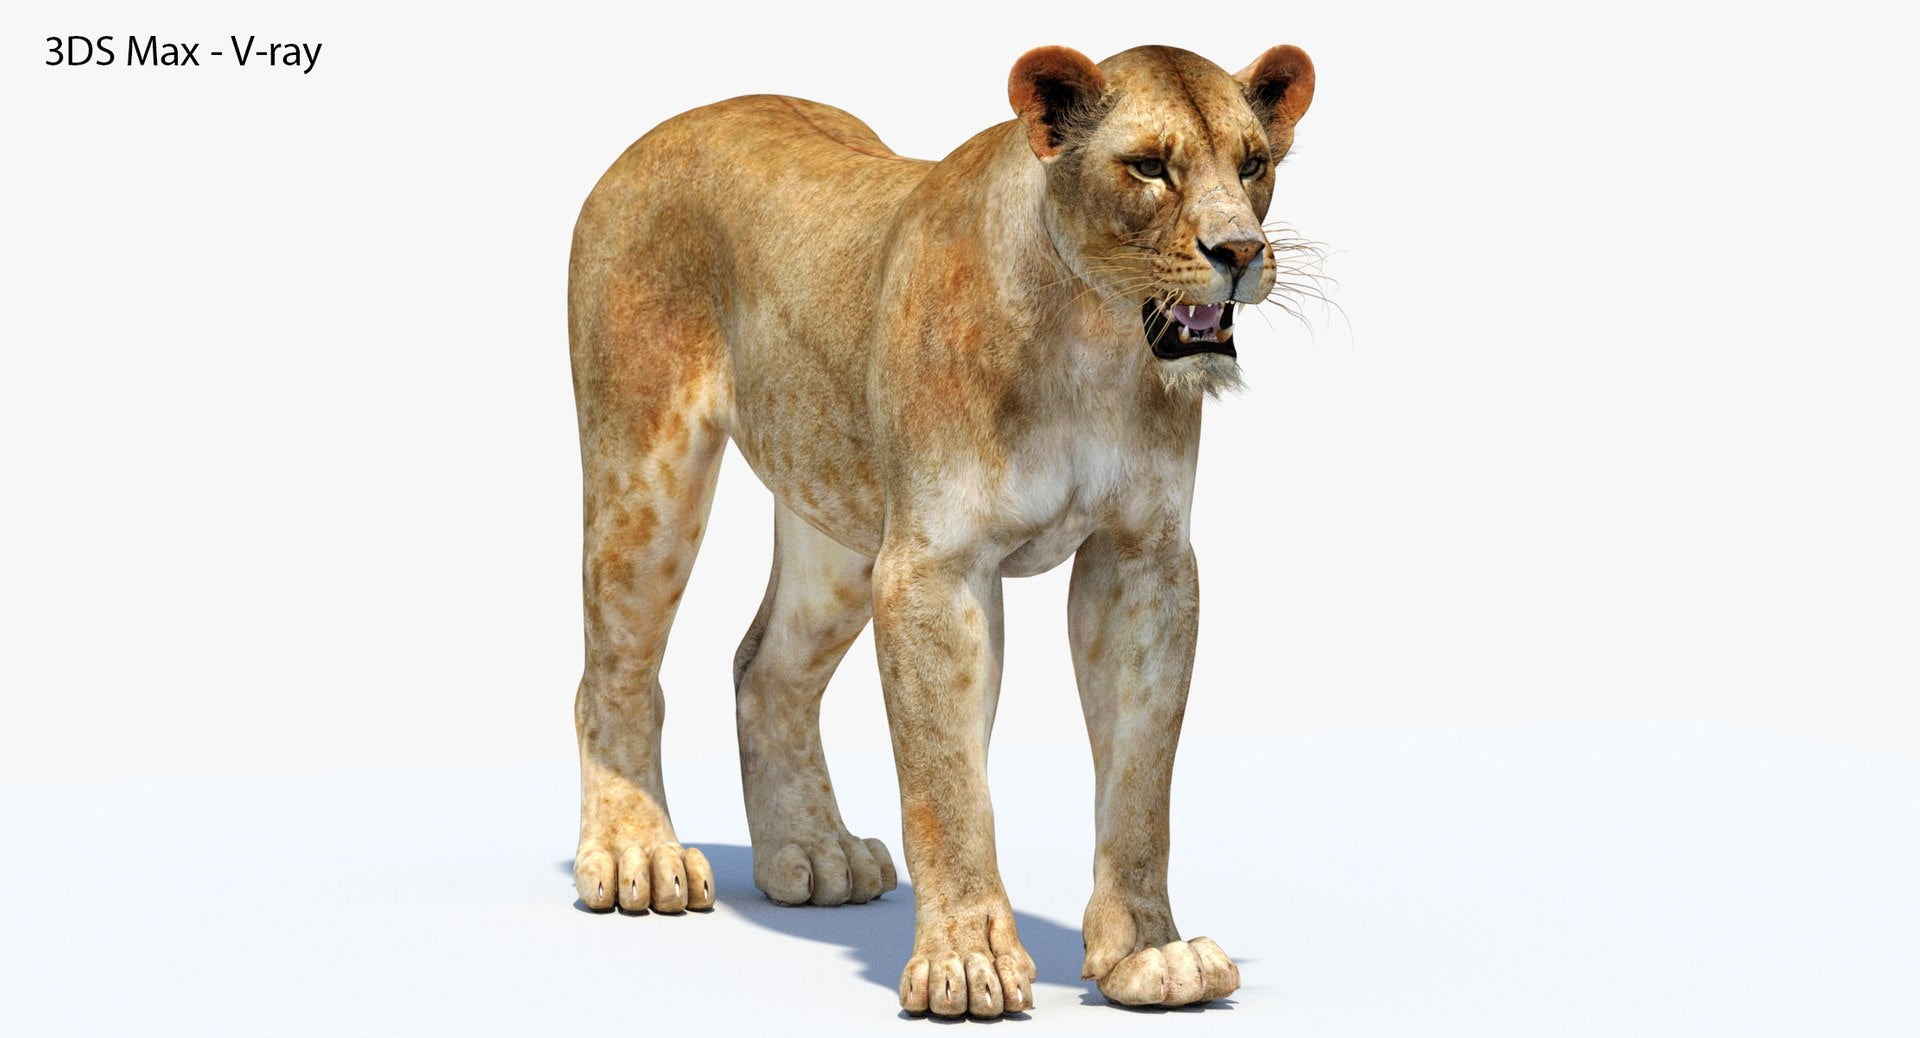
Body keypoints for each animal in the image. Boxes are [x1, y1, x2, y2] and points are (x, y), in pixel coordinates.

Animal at [565, 43, 1316, 1016]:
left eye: (1253, 163)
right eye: (1150, 166)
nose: (1240, 251)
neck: (1095, 338)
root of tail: (667, 128)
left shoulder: (1143, 560)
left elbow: (1141, 774)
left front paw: (1150, 955)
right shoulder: (934, 568)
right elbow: (947, 782)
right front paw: (967, 960)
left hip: (842, 523)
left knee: (764, 667)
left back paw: (814, 852)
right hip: (648, 473)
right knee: (613, 673)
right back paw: (637, 853)